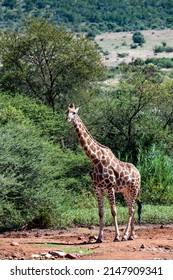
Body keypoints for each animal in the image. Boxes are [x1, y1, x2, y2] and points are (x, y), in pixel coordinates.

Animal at [66, 103, 141, 243]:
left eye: (74, 112)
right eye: (65, 112)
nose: (67, 119)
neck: (96, 160)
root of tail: (138, 172)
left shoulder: (110, 187)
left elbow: (114, 211)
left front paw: (116, 236)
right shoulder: (97, 188)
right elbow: (100, 212)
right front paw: (99, 238)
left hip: (134, 189)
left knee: (131, 209)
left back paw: (124, 236)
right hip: (126, 191)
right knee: (132, 209)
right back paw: (131, 235)